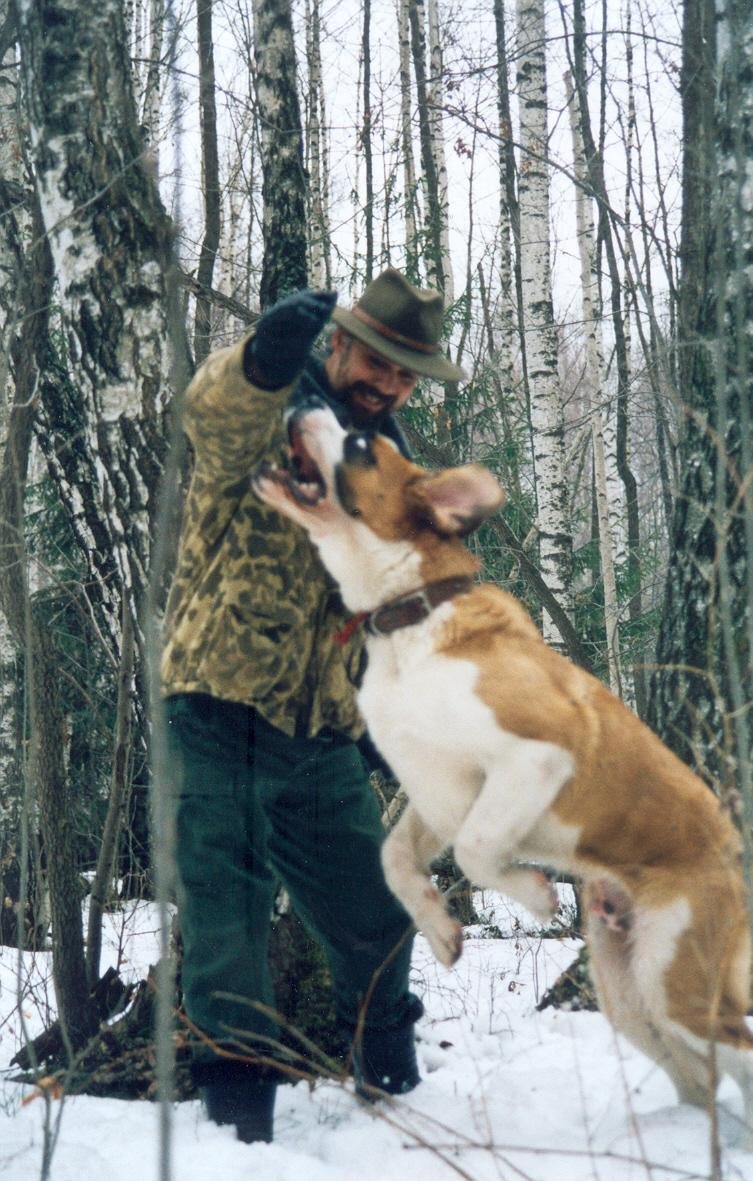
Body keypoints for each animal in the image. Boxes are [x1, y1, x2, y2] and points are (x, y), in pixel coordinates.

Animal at [254, 398, 753, 1140]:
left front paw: (537, 896)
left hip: (678, 982)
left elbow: (478, 848)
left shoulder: (536, 754)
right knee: (699, 1078)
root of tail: (730, 852)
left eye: (362, 443)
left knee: (735, 1050)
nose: (303, 401)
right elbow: (394, 859)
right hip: (630, 995)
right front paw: (439, 930)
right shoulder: (434, 791)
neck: (411, 619)